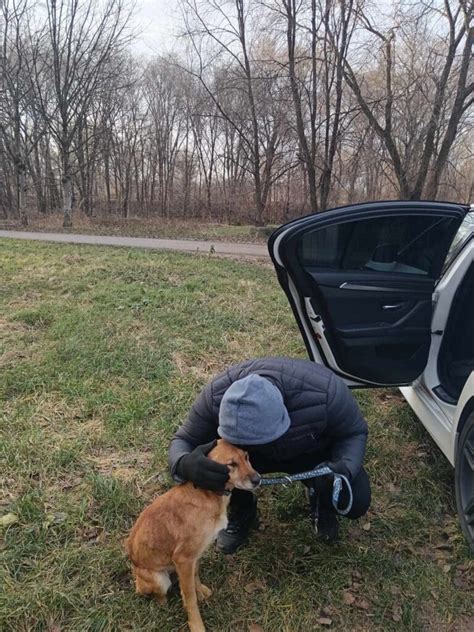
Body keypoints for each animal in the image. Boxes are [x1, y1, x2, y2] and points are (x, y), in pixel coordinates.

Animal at [126, 440, 260, 632]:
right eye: (231, 464)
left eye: (246, 457)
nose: (258, 479)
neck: (206, 494)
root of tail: (134, 566)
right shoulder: (183, 559)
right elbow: (190, 599)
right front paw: (196, 625)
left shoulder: (193, 557)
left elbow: (195, 576)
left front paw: (200, 590)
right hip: (159, 579)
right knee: (157, 594)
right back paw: (163, 604)